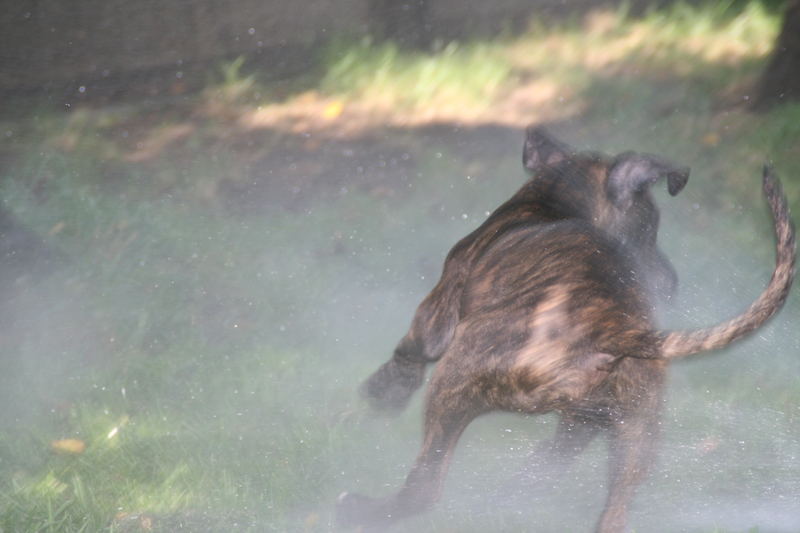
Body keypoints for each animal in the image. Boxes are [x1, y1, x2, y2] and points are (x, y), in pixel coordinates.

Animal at [336, 129, 792, 532]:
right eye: (650, 229)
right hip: (622, 429)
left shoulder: (436, 312)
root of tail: (615, 329)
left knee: (426, 486)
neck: (557, 202)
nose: (671, 283)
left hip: (456, 380)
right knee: (592, 497)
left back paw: (361, 510)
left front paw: (379, 397)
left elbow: (408, 354)